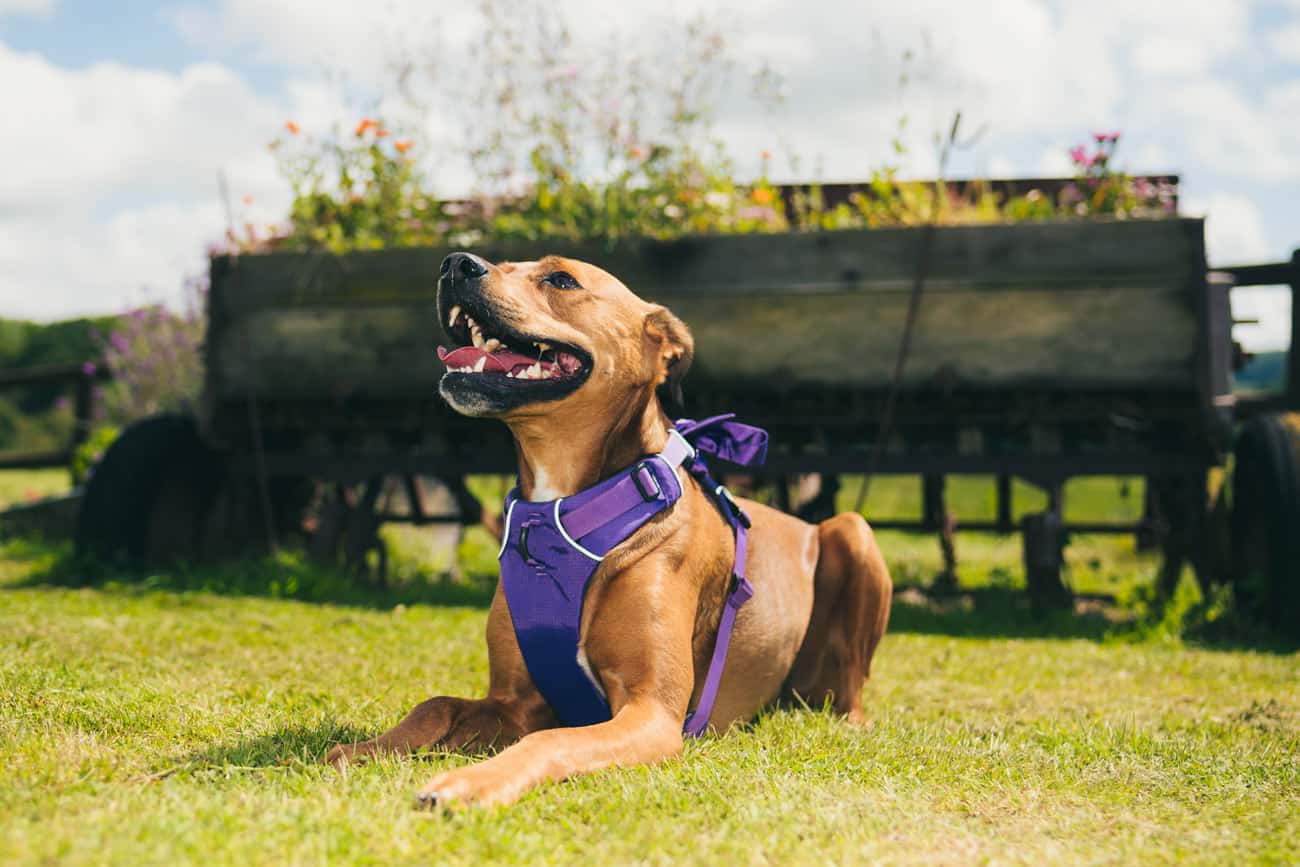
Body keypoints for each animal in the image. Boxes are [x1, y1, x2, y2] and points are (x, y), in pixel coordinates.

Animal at [325, 250, 894, 805]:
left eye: (561, 279)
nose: (454, 263)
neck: (563, 508)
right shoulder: (515, 700)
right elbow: (435, 703)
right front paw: (363, 749)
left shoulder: (651, 713)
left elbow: (549, 741)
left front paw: (469, 783)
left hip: (854, 533)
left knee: (851, 689)